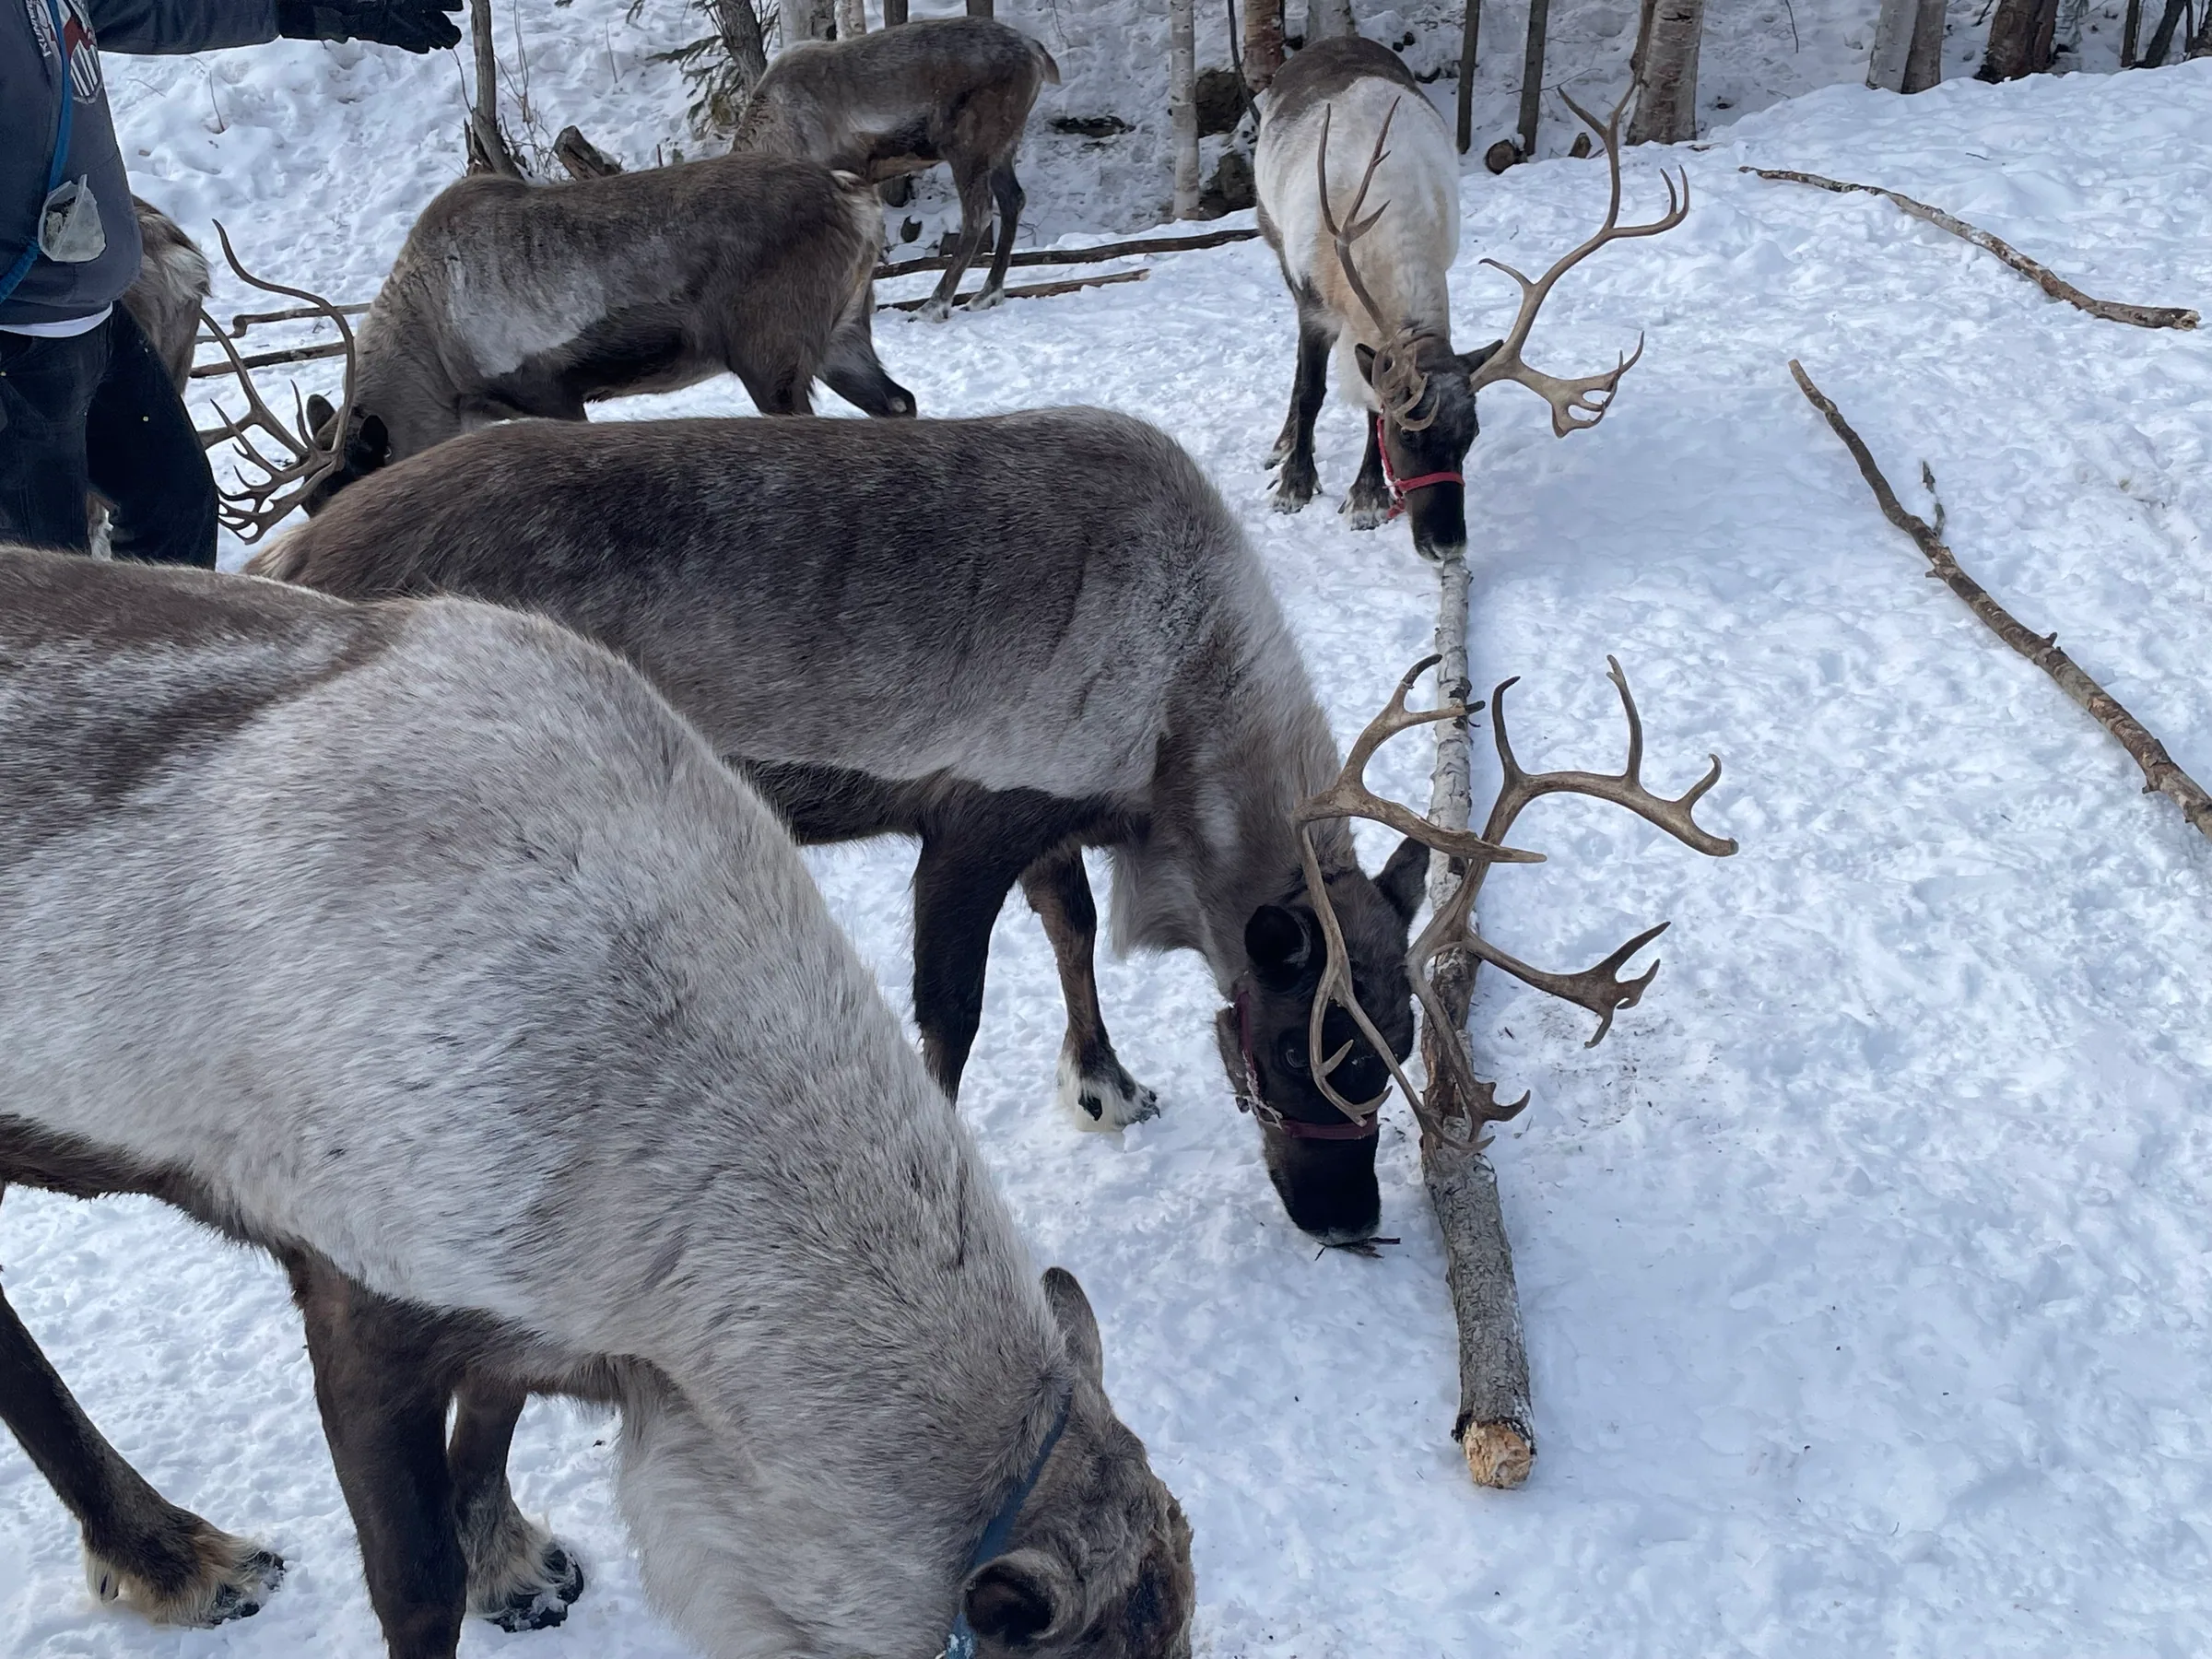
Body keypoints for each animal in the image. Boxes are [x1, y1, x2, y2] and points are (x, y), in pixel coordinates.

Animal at [0, 543, 1194, 1659]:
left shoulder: (533, 1307)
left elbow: (493, 1421)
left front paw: (512, 1562)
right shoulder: (356, 1293)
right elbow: (414, 1588)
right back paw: (171, 1556)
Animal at [245, 403, 1730, 1246]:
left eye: (1402, 1047)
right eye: (1310, 1058)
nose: (1353, 1221)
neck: (1188, 701)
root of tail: (289, 554)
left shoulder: (1059, 808)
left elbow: (1069, 929)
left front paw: (1105, 1082)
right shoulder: (966, 821)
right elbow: (949, 1019)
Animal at [732, 16, 1060, 321]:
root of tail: (1036, 51)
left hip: (970, 146)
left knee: (978, 216)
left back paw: (934, 305)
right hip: (1002, 147)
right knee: (1013, 200)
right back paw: (987, 294)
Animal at [1254, 38, 1686, 561]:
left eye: (1472, 435)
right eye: (1407, 433)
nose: (1448, 545)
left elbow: (1372, 401)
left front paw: (1367, 497)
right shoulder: (1313, 302)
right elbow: (1310, 392)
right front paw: (1295, 485)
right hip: (1272, 233)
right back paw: (1283, 444)